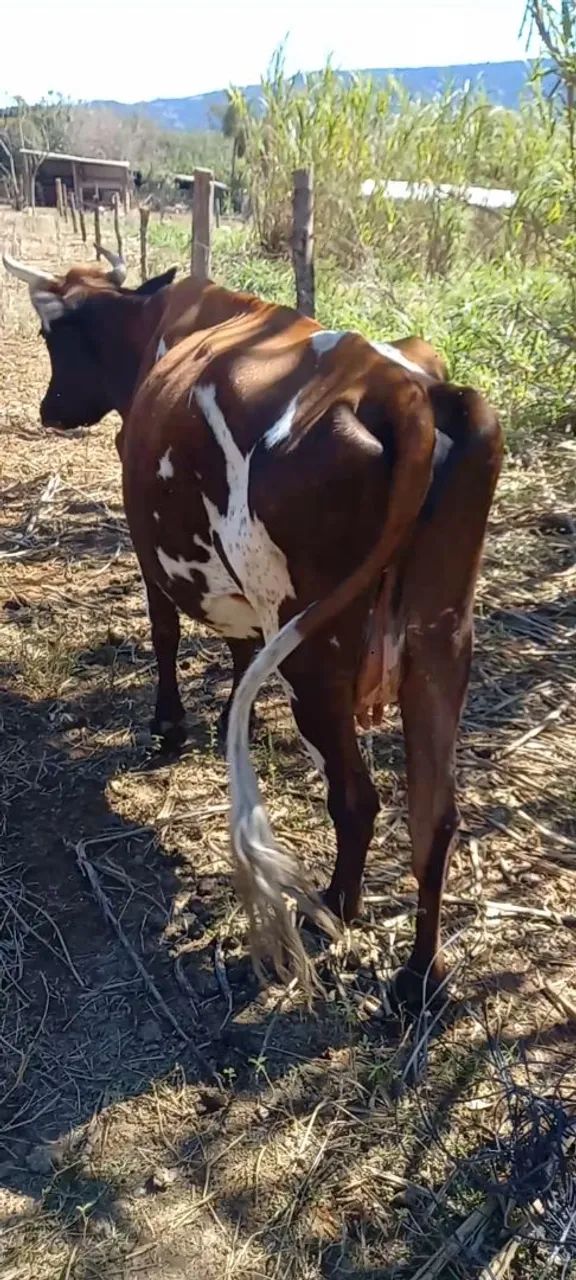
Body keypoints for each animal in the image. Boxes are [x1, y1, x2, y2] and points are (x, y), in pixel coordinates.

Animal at [3, 250, 502, 1004]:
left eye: (49, 337)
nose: (49, 408)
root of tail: (400, 391)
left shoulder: (153, 553)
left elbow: (166, 634)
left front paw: (170, 725)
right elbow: (240, 657)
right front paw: (220, 721)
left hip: (314, 650)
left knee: (356, 797)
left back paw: (334, 907)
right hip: (441, 640)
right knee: (434, 816)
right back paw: (420, 976)